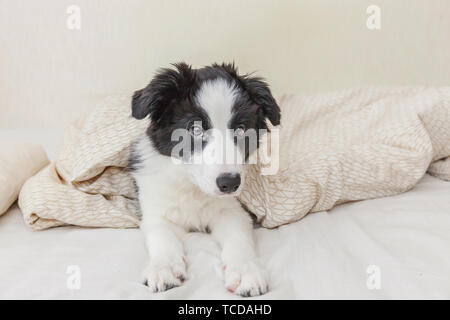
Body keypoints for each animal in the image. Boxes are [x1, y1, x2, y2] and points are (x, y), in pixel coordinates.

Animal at [128, 62, 280, 298]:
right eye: (195, 129)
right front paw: (164, 268)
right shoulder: (156, 211)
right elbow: (162, 236)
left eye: (241, 130)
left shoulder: (233, 211)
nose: (230, 184)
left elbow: (239, 240)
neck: (194, 187)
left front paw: (246, 271)